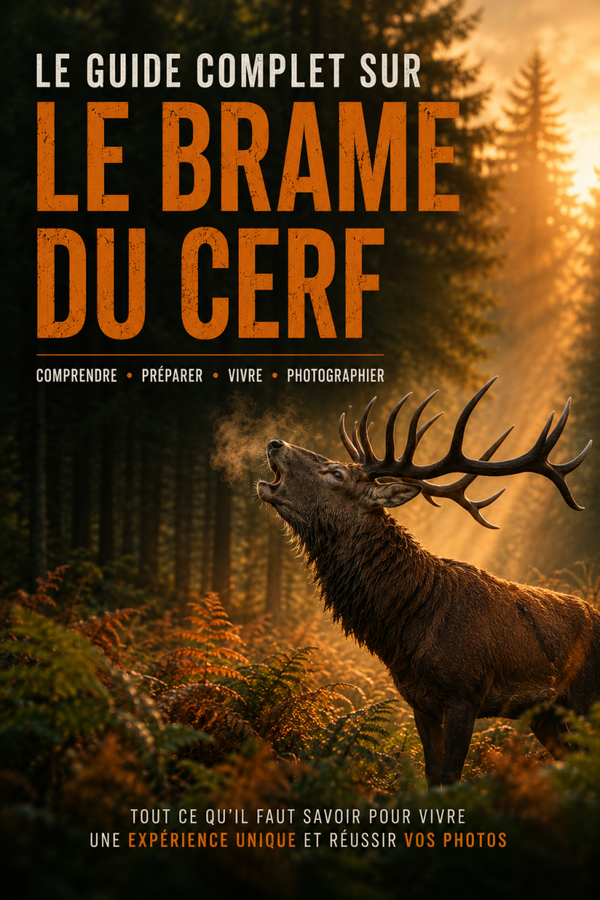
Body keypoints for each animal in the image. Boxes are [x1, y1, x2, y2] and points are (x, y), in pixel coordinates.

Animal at [256, 377, 597, 787]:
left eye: (336, 473)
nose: (276, 443)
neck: (406, 631)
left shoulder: (465, 694)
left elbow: (450, 776)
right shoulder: (420, 702)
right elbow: (432, 775)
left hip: (585, 700)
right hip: (548, 715)